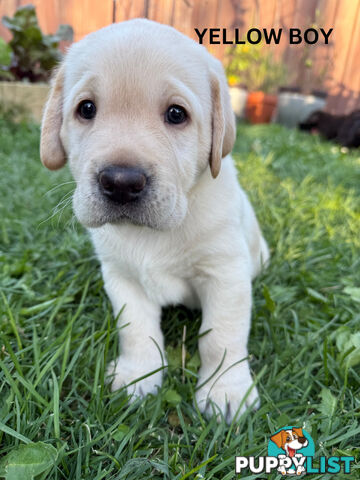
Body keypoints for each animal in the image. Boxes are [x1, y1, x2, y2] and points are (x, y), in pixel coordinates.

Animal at [40, 17, 268, 420]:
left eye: (176, 114)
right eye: (86, 109)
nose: (121, 182)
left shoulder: (226, 275)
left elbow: (222, 337)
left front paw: (227, 392)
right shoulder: (121, 277)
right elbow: (136, 330)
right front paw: (138, 375)